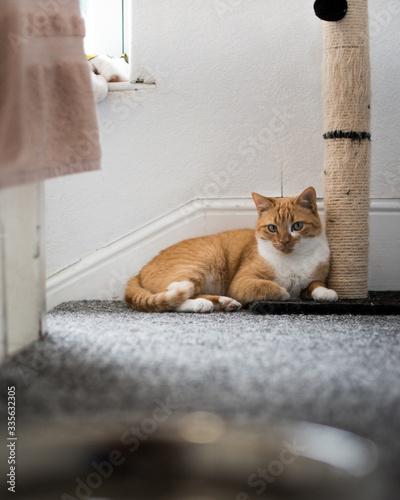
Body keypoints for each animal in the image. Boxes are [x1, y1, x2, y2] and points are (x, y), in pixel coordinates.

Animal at [125, 188, 338, 312]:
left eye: (297, 226)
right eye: (272, 228)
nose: (284, 241)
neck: (293, 259)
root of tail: (138, 273)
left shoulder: (315, 276)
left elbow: (315, 284)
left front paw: (326, 292)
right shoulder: (241, 282)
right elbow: (272, 287)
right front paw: (284, 291)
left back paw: (225, 302)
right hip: (204, 259)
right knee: (174, 295)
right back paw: (201, 304)